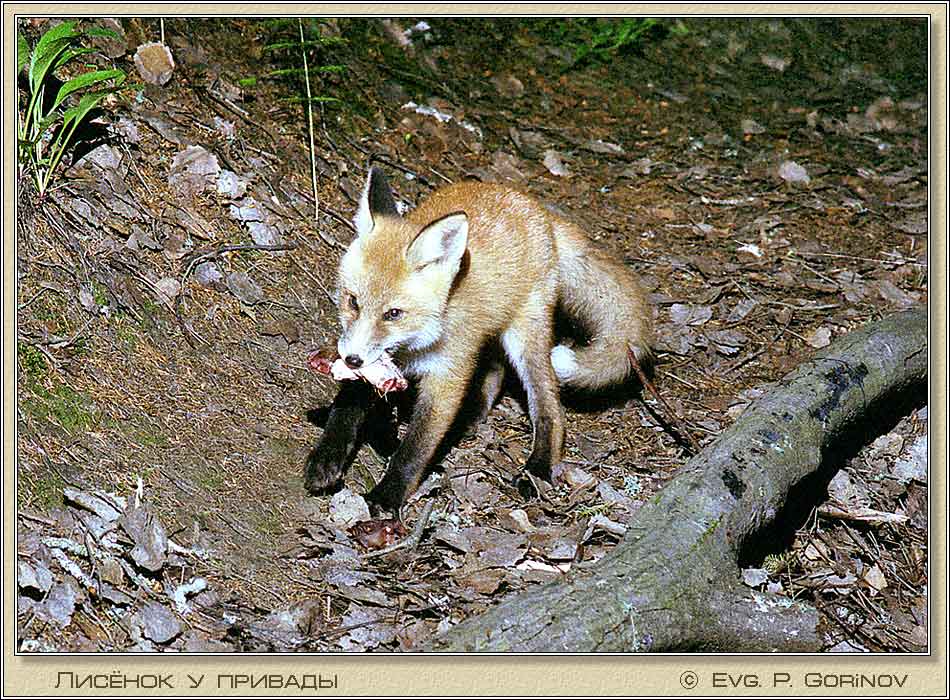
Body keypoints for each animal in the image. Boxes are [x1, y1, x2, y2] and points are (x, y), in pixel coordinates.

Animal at [305, 167, 653, 513]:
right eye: (352, 301)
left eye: (393, 313)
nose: (351, 359)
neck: (414, 346)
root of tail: (536, 208)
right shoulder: (378, 362)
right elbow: (346, 408)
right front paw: (327, 458)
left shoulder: (446, 376)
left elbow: (415, 449)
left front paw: (387, 495)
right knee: (496, 372)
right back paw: (472, 416)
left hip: (526, 339)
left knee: (550, 407)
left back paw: (538, 469)